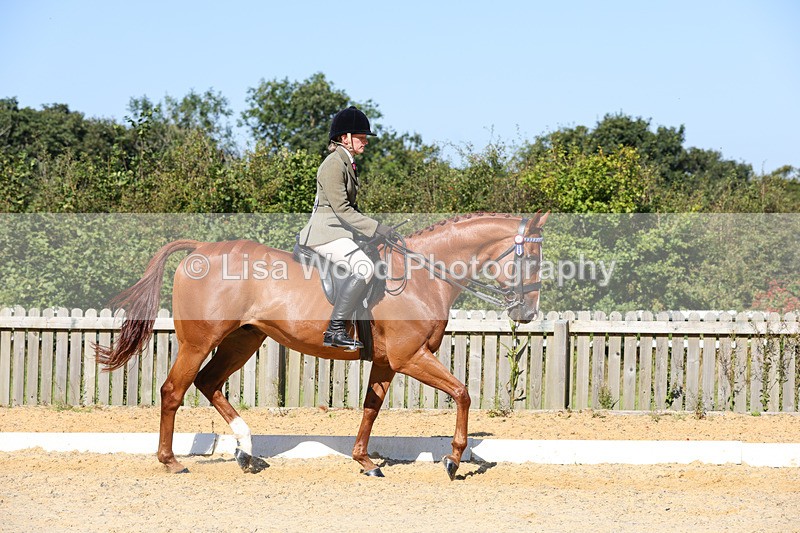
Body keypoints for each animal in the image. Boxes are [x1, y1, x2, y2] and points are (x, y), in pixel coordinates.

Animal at [96, 211, 548, 480]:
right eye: (531, 260)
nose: (527, 313)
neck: (422, 276)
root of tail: (202, 249)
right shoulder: (410, 357)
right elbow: (463, 392)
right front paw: (453, 460)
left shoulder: (387, 361)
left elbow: (371, 408)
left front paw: (364, 461)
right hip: (200, 340)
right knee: (173, 390)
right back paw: (171, 461)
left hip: (244, 338)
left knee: (209, 384)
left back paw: (247, 453)